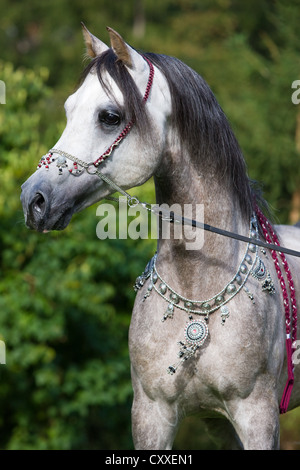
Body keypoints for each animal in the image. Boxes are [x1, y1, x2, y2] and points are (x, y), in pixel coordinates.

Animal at [19, 24, 300, 448]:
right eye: (69, 110)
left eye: (110, 116)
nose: (32, 200)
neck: (198, 290)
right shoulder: (155, 416)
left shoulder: (258, 417)